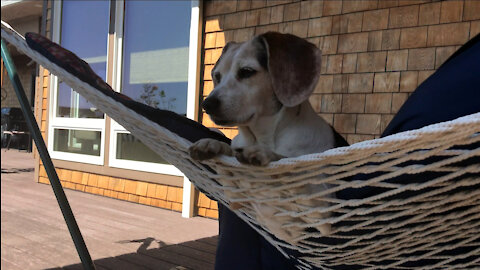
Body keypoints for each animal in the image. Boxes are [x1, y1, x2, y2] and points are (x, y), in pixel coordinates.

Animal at [188, 31, 348, 243]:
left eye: (247, 71)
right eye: (217, 76)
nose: (207, 104)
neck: (263, 137)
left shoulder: (323, 216)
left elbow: (293, 170)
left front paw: (265, 154)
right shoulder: (235, 198)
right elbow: (228, 155)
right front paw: (211, 144)